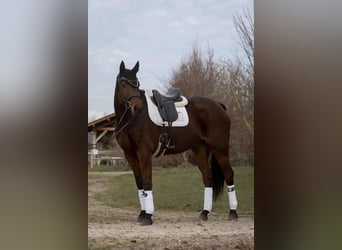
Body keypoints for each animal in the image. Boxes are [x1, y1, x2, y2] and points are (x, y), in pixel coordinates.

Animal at [113, 61, 236, 227]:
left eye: (137, 83)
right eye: (123, 83)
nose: (137, 107)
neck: (131, 120)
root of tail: (217, 105)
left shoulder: (144, 153)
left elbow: (147, 182)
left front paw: (148, 216)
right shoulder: (130, 154)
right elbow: (139, 183)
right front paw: (142, 213)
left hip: (220, 149)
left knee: (229, 175)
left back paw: (233, 213)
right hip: (200, 150)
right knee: (207, 178)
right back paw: (204, 213)